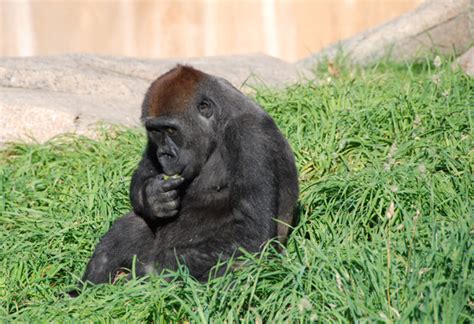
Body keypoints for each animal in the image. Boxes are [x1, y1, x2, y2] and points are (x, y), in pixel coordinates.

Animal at [79, 65, 298, 286]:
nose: (164, 154)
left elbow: (252, 230)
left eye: (171, 130)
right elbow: (144, 172)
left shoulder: (249, 134)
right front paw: (152, 198)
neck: (219, 122)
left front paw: (151, 271)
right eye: (155, 131)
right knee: (131, 226)